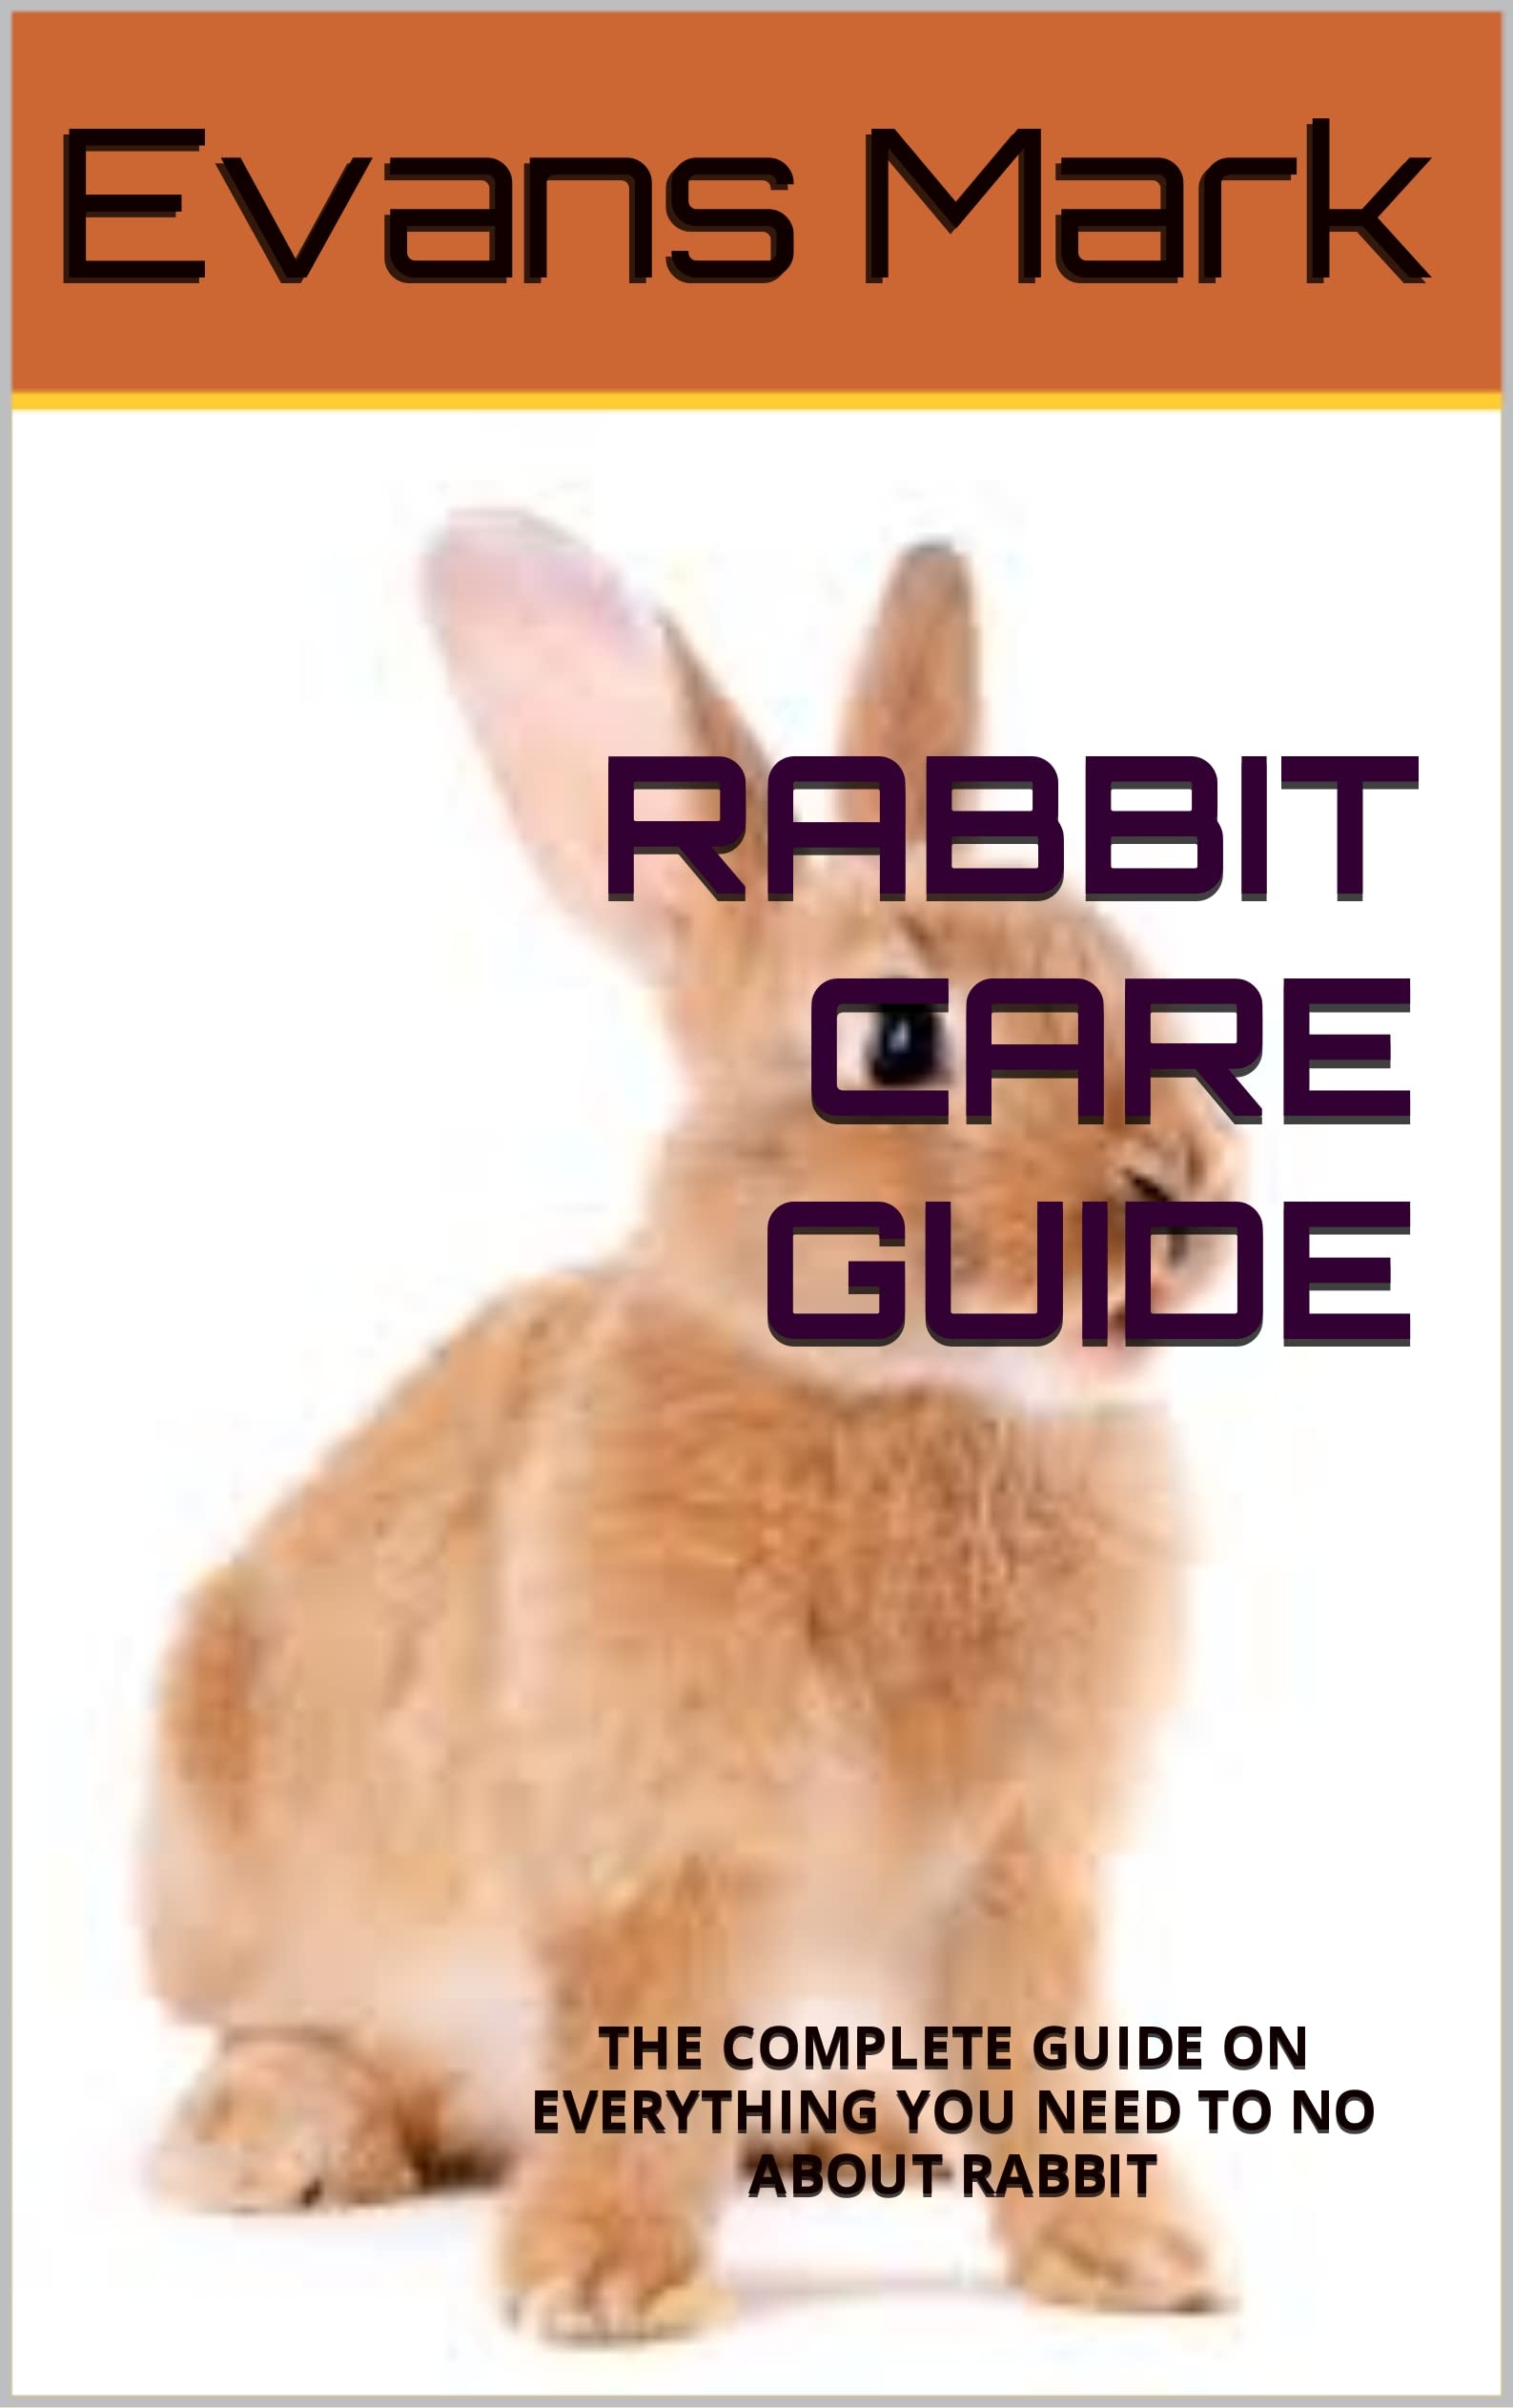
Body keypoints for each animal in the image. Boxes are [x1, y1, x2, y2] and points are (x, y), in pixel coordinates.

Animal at [142, 513, 1238, 2340]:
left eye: (1124, 968)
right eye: (895, 1037)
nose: (1181, 1190)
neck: (906, 1399)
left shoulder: (1021, 1871)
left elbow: (1044, 2056)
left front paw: (1136, 2261)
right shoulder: (652, 1841)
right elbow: (634, 2038)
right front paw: (598, 2284)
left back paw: (845, 2138)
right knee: (280, 2030)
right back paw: (279, 2144)